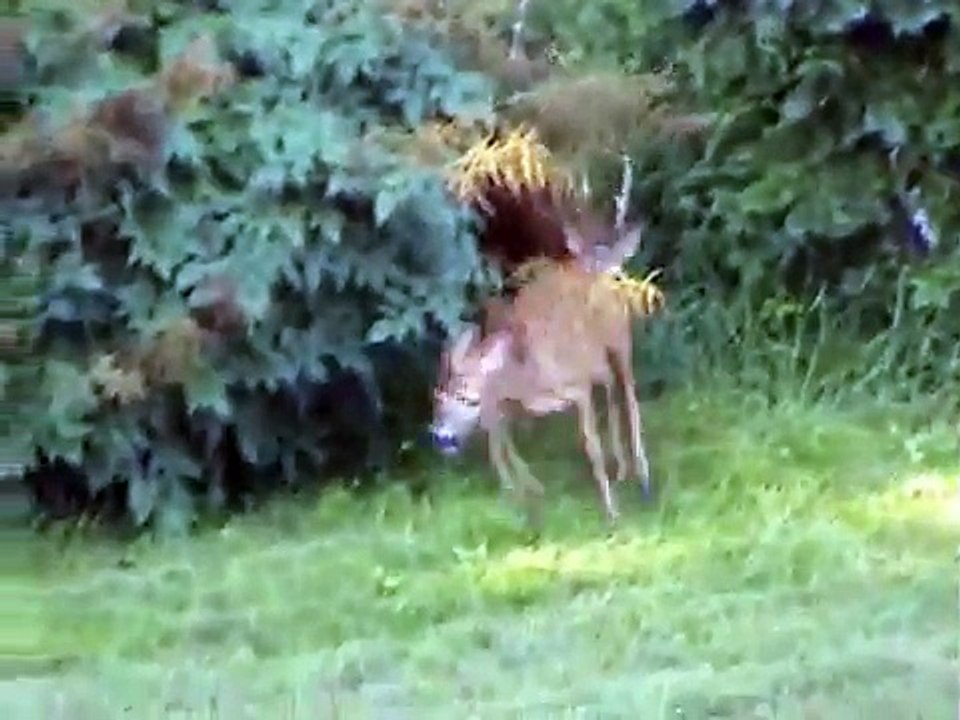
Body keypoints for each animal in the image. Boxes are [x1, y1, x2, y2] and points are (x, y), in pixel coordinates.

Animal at [429, 217, 659, 524]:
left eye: (468, 399)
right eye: (438, 396)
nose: (440, 438)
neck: (528, 374)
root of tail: (602, 263)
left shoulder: (578, 386)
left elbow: (592, 447)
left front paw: (611, 511)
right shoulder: (506, 401)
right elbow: (499, 442)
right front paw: (522, 492)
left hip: (620, 339)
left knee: (630, 396)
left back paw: (642, 479)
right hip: (598, 359)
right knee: (611, 387)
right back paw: (621, 468)